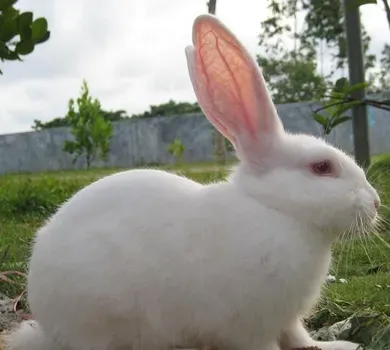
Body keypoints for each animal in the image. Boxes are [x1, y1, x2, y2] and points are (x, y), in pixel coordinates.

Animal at [5, 12, 378, 350]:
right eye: (322, 167)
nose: (375, 202)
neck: (276, 211)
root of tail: (47, 331)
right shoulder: (248, 327)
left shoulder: (286, 319)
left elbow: (299, 337)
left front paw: (338, 345)